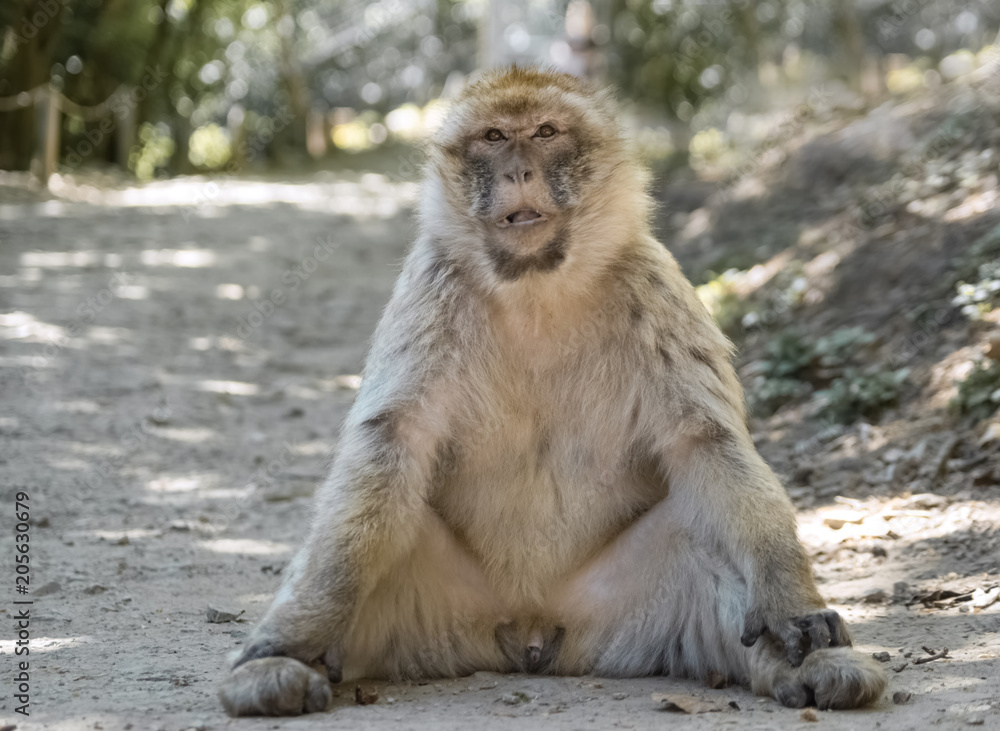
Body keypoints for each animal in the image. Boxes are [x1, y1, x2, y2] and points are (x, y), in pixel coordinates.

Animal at [217, 66, 884, 716]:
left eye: (544, 132)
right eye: (493, 137)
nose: (518, 170)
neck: (537, 289)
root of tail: (529, 629)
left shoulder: (654, 287)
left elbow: (705, 444)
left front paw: (791, 608)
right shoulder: (430, 289)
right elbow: (394, 442)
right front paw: (295, 634)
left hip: (618, 612)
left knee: (698, 531)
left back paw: (806, 667)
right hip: (436, 609)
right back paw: (286, 661)